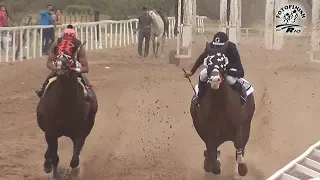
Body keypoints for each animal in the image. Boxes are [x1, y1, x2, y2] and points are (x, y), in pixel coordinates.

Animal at [36, 44, 97, 179]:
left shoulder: (80, 132)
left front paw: (74, 172)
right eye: (58, 52)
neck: (65, 103)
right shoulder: (51, 131)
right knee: (51, 151)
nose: (60, 65)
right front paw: (51, 169)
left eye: (71, 56)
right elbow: (54, 157)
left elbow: (74, 160)